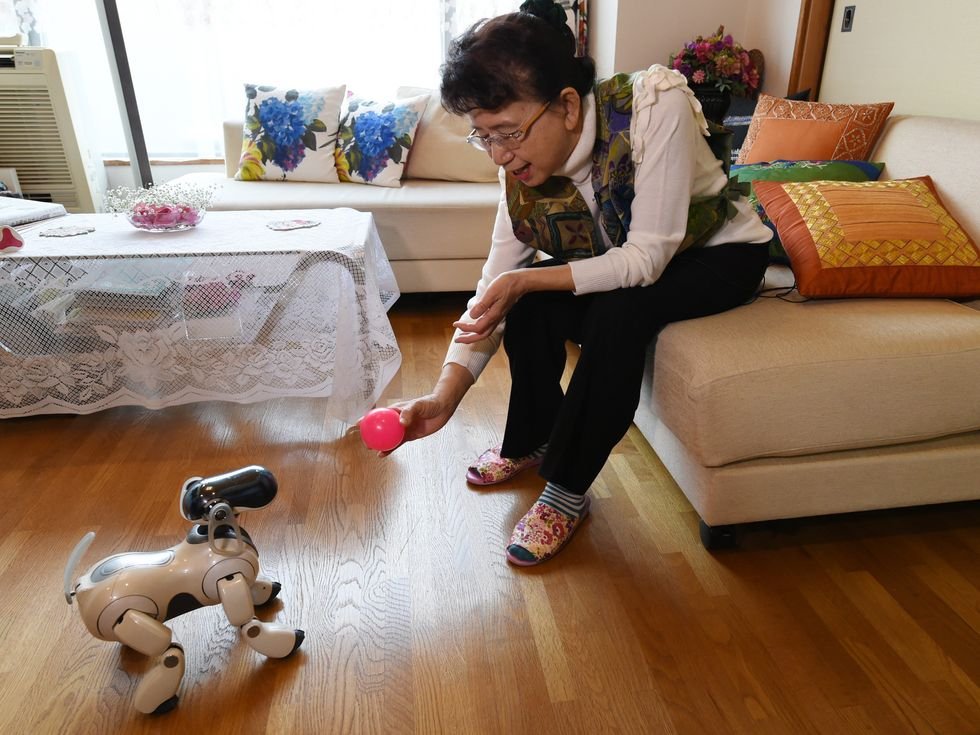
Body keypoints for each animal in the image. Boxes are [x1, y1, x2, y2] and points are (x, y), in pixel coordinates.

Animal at [64, 468, 304, 716]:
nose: (267, 477)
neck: (211, 538)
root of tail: (80, 590)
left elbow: (251, 586)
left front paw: (266, 589)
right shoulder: (227, 576)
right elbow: (248, 625)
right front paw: (289, 641)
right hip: (127, 615)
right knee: (170, 652)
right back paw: (159, 703)